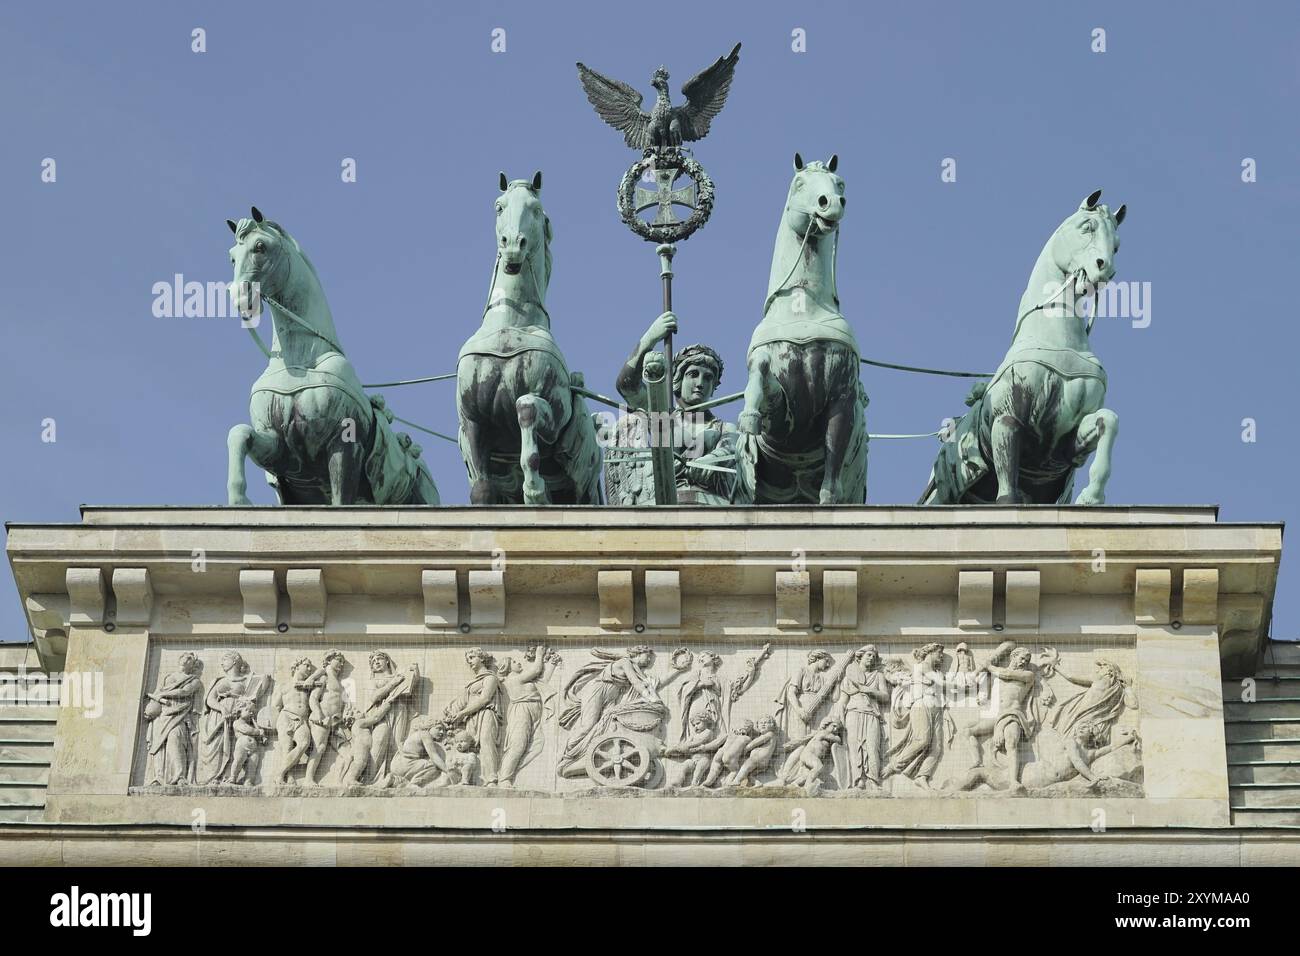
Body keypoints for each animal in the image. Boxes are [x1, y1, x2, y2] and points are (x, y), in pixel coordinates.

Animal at [457, 172, 603, 504]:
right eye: (499, 207)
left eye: (536, 210)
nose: (513, 245)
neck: (511, 325)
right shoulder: (472, 421)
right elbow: (481, 490)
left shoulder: (556, 413)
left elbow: (526, 407)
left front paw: (534, 488)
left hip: (585, 490)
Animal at [738, 153, 868, 504]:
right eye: (799, 183)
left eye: (840, 184)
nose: (830, 203)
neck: (802, 309)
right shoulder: (782, 417)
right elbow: (760, 376)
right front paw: (748, 416)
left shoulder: (842, 398)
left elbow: (832, 478)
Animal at [925, 188, 1128, 509]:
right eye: (1087, 226)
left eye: (1117, 245)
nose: (1104, 268)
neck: (1056, 337)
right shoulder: (1008, 418)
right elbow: (1007, 481)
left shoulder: (1063, 445)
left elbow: (1108, 420)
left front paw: (1092, 495)